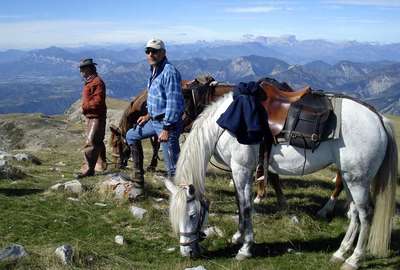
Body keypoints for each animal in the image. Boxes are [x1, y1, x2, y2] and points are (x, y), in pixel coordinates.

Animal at [163, 91, 396, 270]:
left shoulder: (241, 168)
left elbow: (246, 206)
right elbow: (240, 203)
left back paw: (354, 259)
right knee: (355, 212)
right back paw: (340, 252)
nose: (187, 252)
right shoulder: (239, 170)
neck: (226, 123)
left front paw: (245, 248)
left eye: (192, 215)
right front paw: (238, 236)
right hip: (349, 178)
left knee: (366, 214)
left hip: (358, 180)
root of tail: (379, 119)